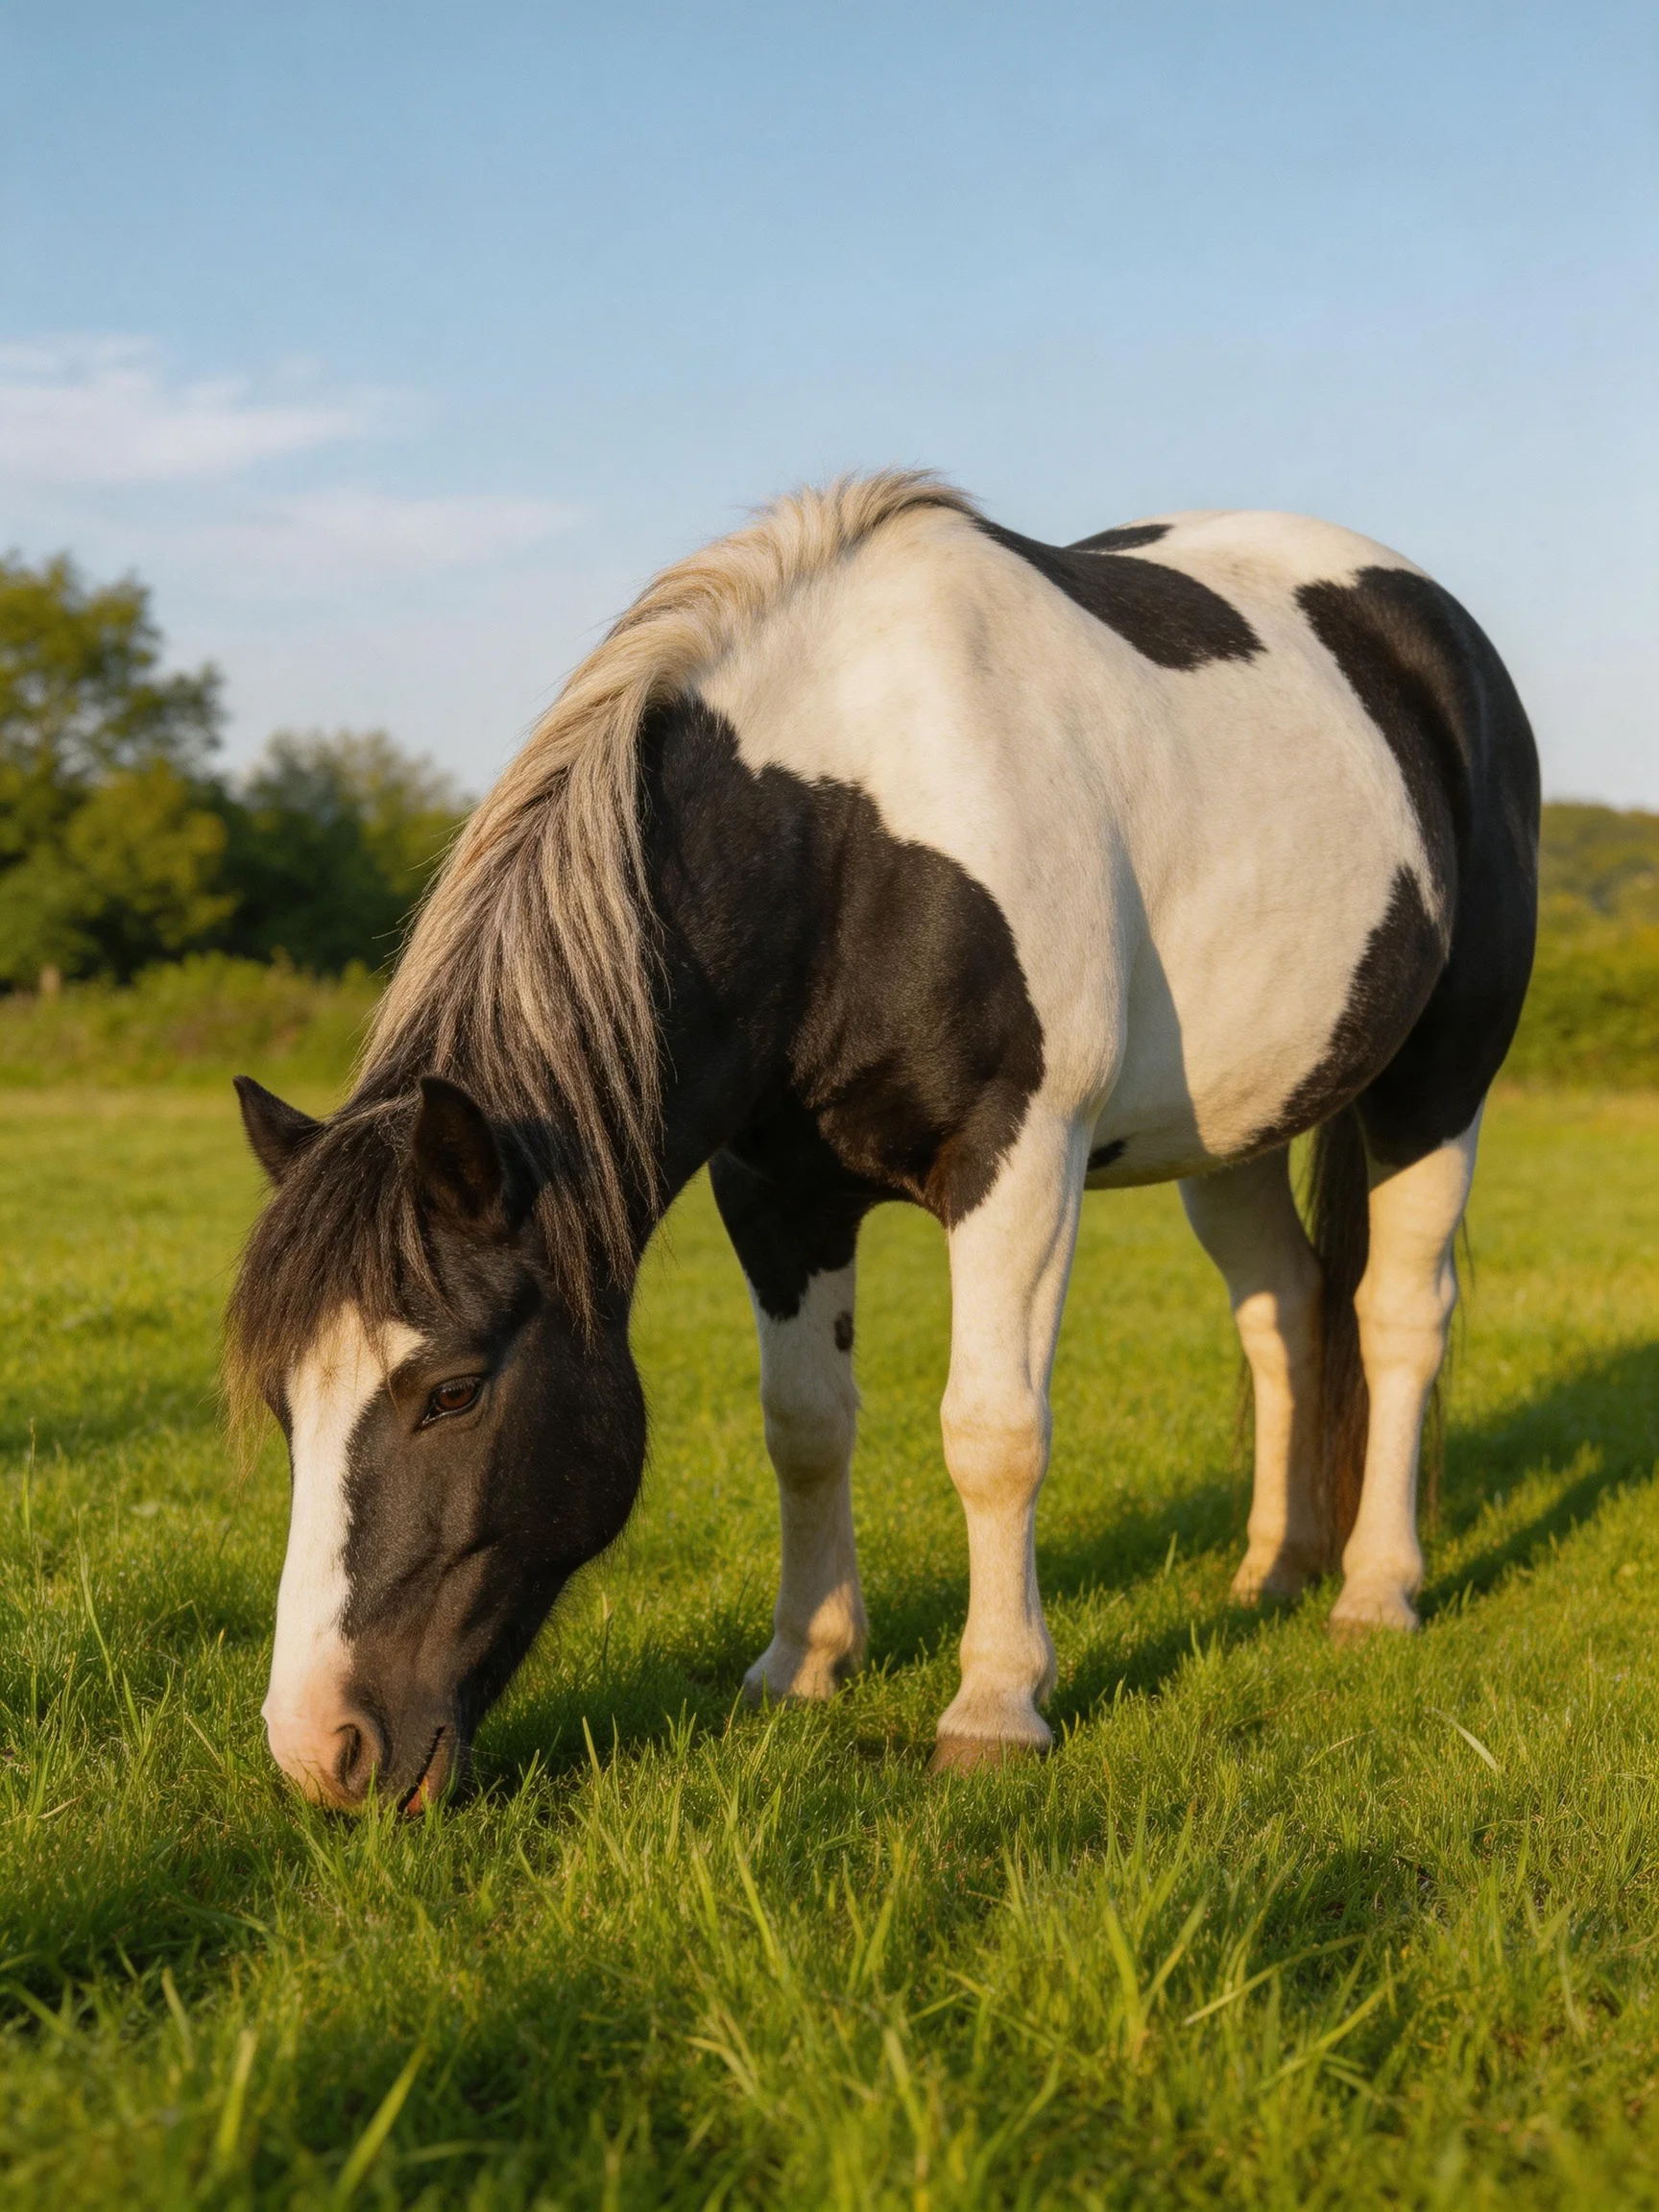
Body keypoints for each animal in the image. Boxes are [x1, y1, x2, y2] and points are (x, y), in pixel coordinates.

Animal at [228, 471, 1538, 1809]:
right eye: (283, 1399)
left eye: (450, 1392)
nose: (320, 1750)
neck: (852, 829)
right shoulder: (774, 1192)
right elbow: (804, 1422)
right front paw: (801, 1662)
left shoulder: (1019, 1161)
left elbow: (993, 1433)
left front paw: (997, 1704)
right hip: (1235, 1129)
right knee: (1282, 1308)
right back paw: (1274, 1568)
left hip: (1438, 1085)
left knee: (1396, 1313)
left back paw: (1377, 1589)